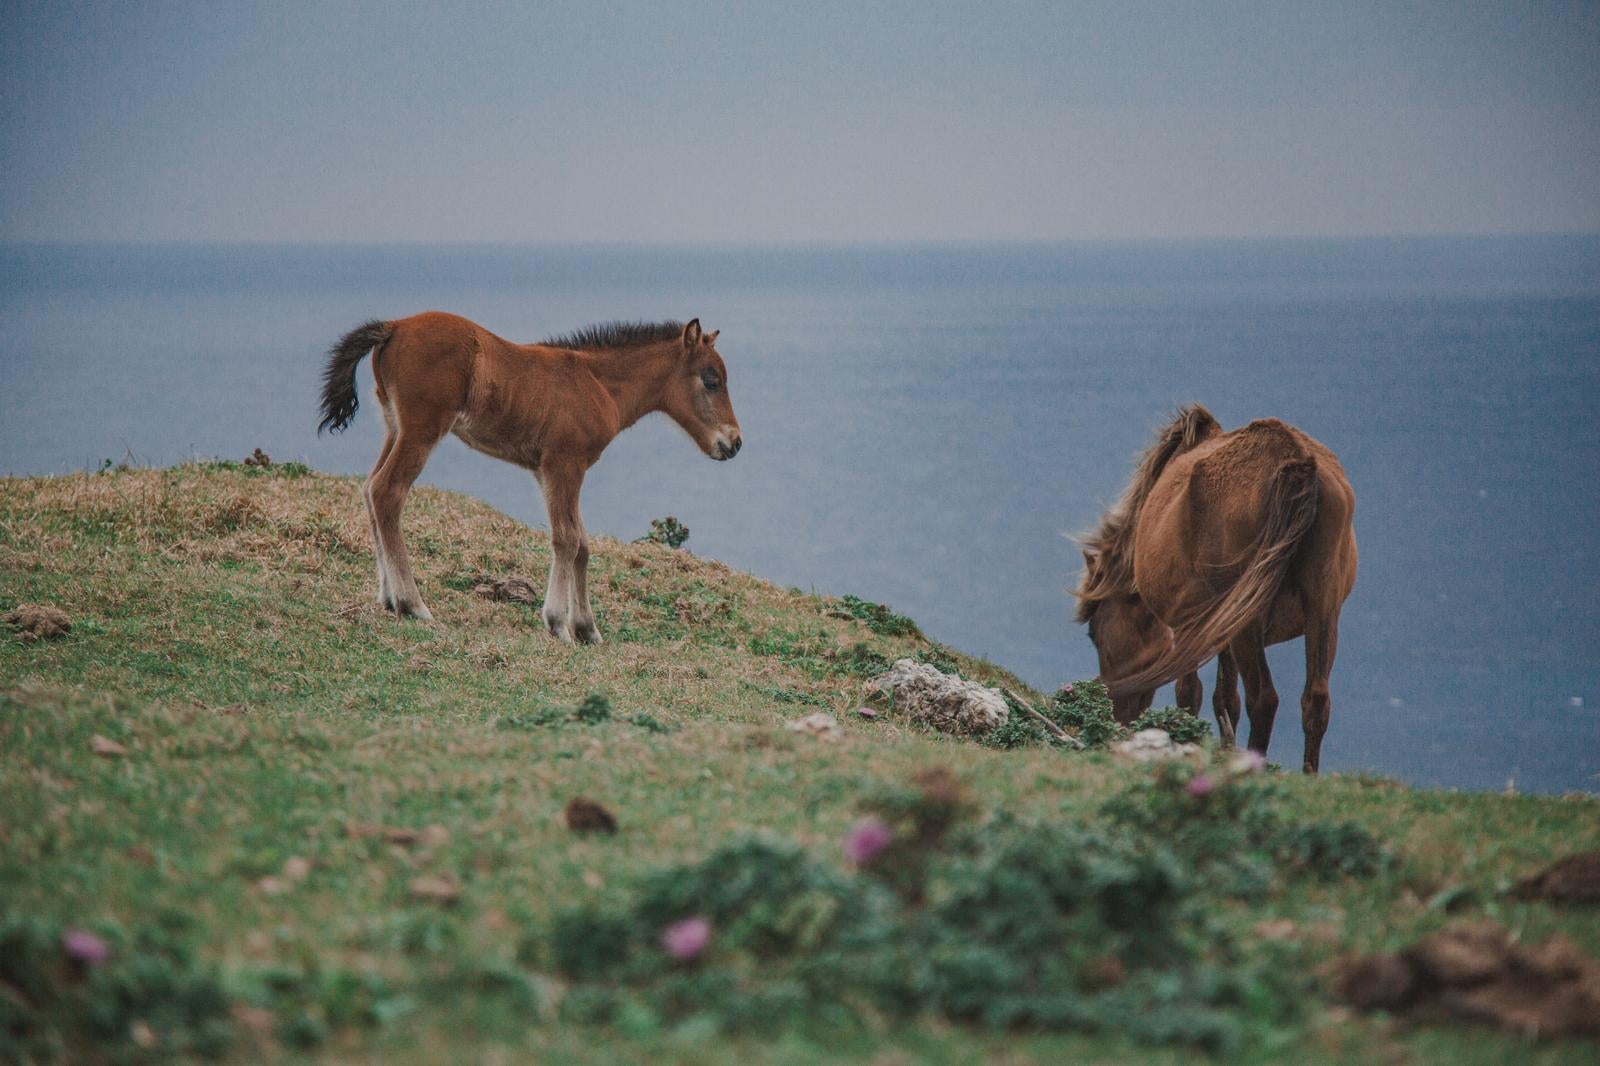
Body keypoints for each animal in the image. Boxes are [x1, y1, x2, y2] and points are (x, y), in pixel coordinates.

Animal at [318, 312, 742, 644]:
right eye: (710, 380)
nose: (734, 443)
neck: (598, 384)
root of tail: (394, 326)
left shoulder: (549, 471)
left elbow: (583, 544)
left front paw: (587, 628)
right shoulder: (564, 465)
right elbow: (567, 539)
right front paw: (557, 623)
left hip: (394, 427)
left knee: (370, 489)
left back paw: (388, 598)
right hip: (421, 430)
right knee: (388, 492)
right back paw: (412, 604)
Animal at [1074, 405, 1357, 772]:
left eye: (1095, 633)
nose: (1117, 717)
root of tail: (1294, 464)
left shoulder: (1187, 626)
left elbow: (1189, 694)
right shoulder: (1220, 634)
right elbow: (1225, 700)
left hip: (1248, 622)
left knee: (1263, 698)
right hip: (1322, 608)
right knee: (1316, 698)